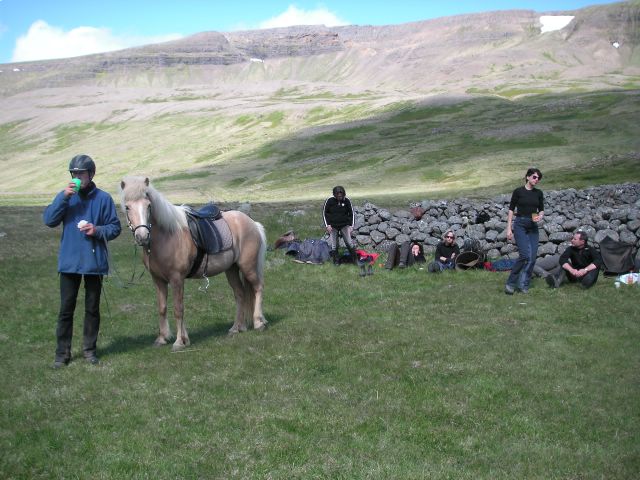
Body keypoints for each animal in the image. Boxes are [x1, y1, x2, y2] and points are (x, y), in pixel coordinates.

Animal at [119, 176, 267, 351]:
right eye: (127, 207)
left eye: (148, 206)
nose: (142, 236)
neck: (167, 236)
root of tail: (252, 223)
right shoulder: (158, 280)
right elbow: (162, 308)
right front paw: (163, 339)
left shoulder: (176, 279)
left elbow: (178, 309)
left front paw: (179, 341)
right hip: (231, 269)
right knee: (240, 294)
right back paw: (236, 328)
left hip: (248, 267)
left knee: (258, 288)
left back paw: (258, 323)